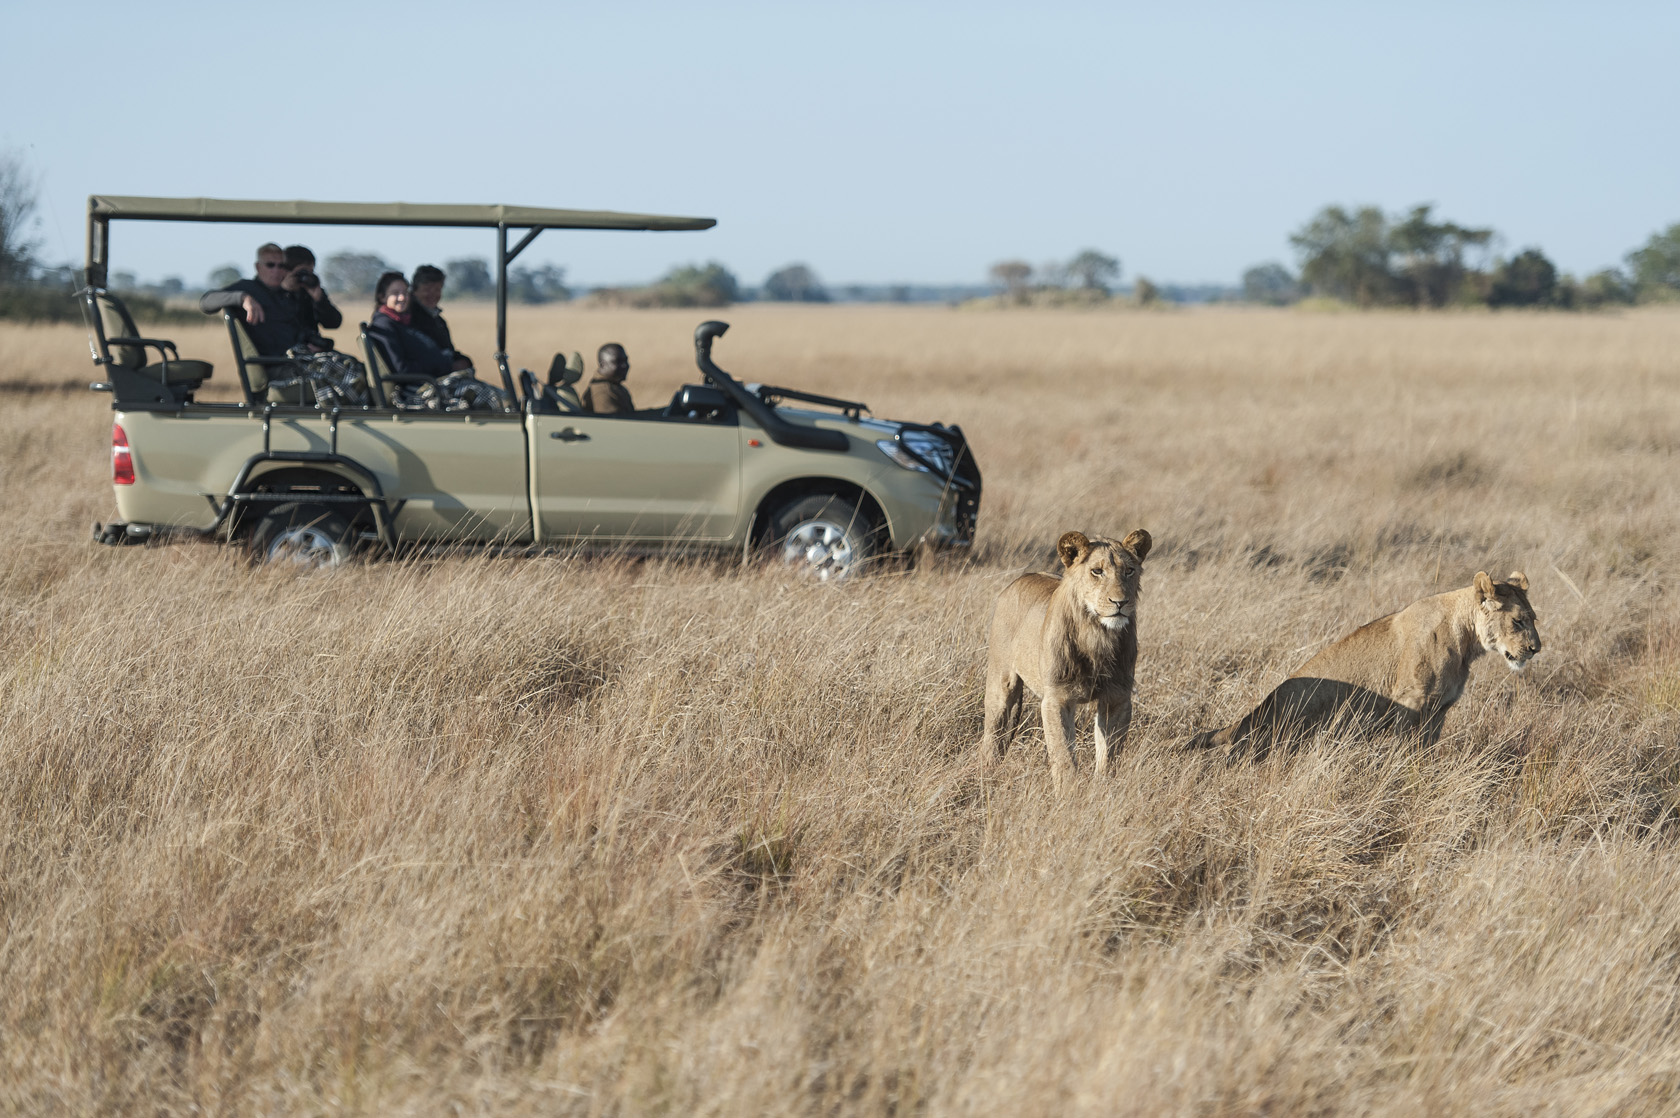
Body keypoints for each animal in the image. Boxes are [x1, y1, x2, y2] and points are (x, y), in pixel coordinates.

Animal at [980, 529, 1153, 788]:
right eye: (1097, 571)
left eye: (1129, 571)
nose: (1120, 602)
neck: (1097, 635)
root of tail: (1018, 580)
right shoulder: (1057, 698)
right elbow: (1063, 754)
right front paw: (1069, 794)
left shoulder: (1117, 697)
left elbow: (1109, 754)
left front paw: (1104, 788)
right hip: (1001, 682)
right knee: (993, 731)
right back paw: (987, 772)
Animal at [1185, 571, 1542, 758]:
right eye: (1518, 621)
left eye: (1533, 619)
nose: (1536, 649)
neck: (1467, 641)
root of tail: (1253, 715)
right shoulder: (1410, 704)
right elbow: (1405, 752)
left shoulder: (1439, 711)